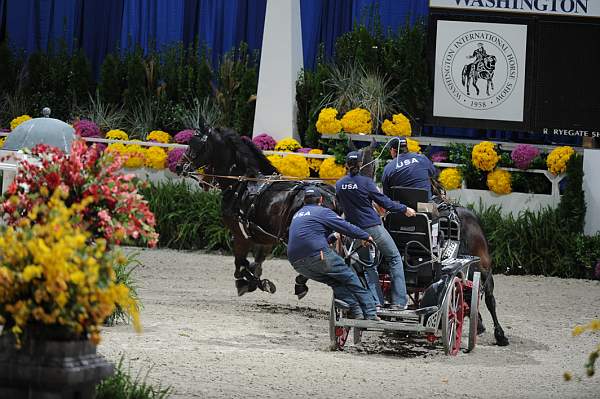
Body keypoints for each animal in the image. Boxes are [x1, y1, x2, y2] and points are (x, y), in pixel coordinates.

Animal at [176, 127, 340, 296]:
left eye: (193, 144)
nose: (179, 166)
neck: (241, 184)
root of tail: (329, 196)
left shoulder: (240, 235)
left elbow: (240, 266)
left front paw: (249, 283)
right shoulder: (265, 238)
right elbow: (255, 264)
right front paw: (257, 281)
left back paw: (302, 283)